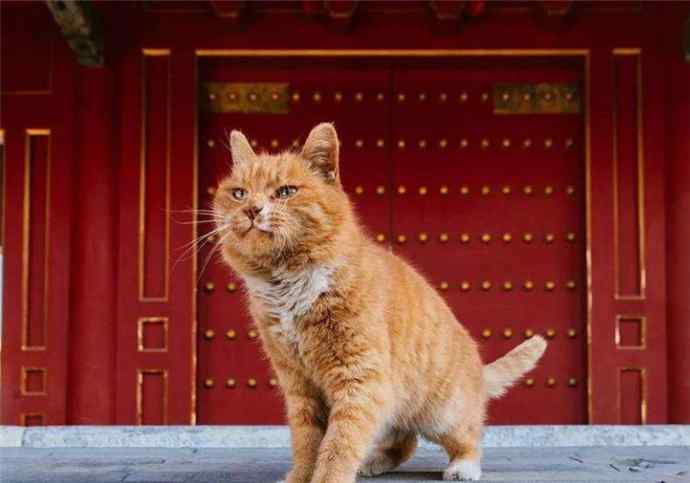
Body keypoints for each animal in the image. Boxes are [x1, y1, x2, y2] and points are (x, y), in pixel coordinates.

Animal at [212, 123, 544, 482]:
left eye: (285, 192)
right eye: (239, 193)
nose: (251, 209)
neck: (288, 284)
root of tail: (479, 371)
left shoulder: (359, 376)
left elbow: (340, 441)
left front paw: (328, 477)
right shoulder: (298, 383)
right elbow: (307, 441)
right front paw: (301, 476)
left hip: (443, 413)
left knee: (468, 437)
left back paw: (462, 467)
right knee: (404, 441)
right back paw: (372, 462)